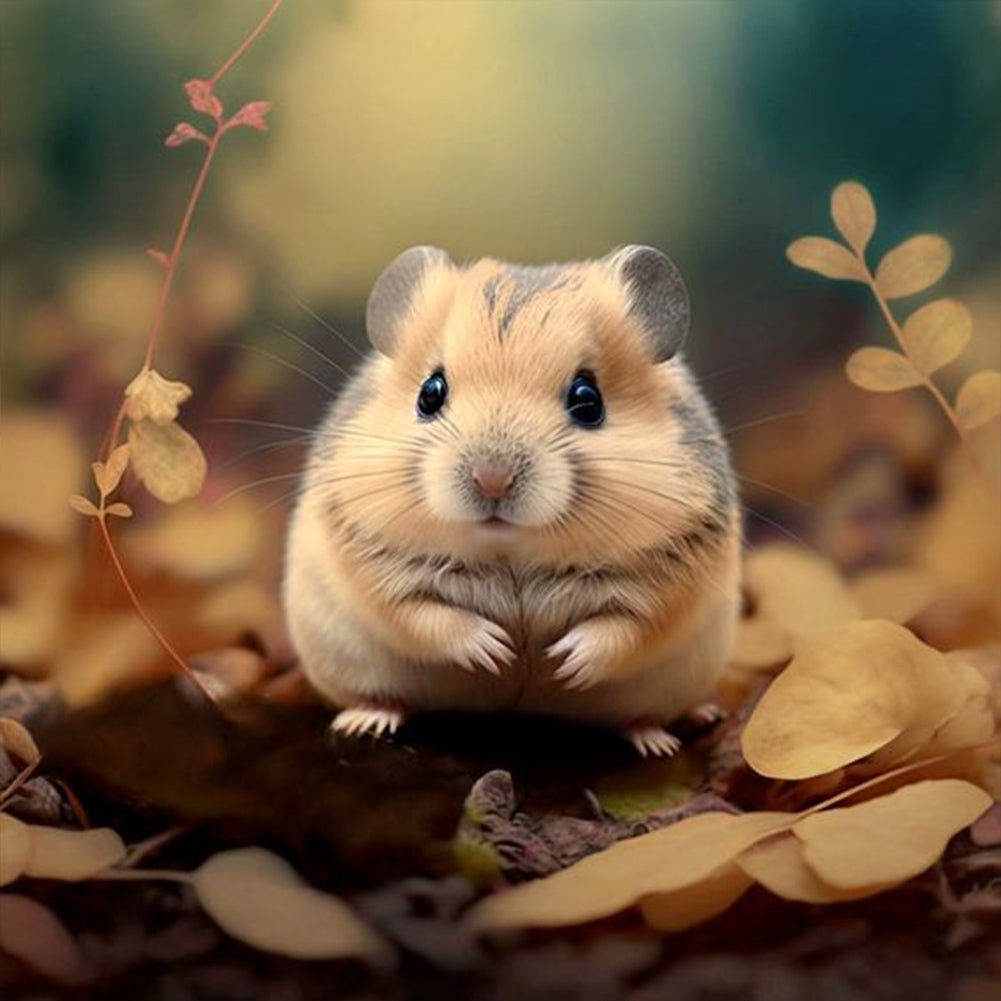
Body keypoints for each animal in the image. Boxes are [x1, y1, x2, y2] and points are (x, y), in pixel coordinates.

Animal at [283, 245, 741, 756]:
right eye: (430, 394)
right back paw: (366, 719)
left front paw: (562, 660)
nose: (493, 481)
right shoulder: (370, 560)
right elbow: (421, 614)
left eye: (588, 400)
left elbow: (626, 627)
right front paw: (496, 650)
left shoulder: (673, 576)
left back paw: (664, 736)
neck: (511, 556)